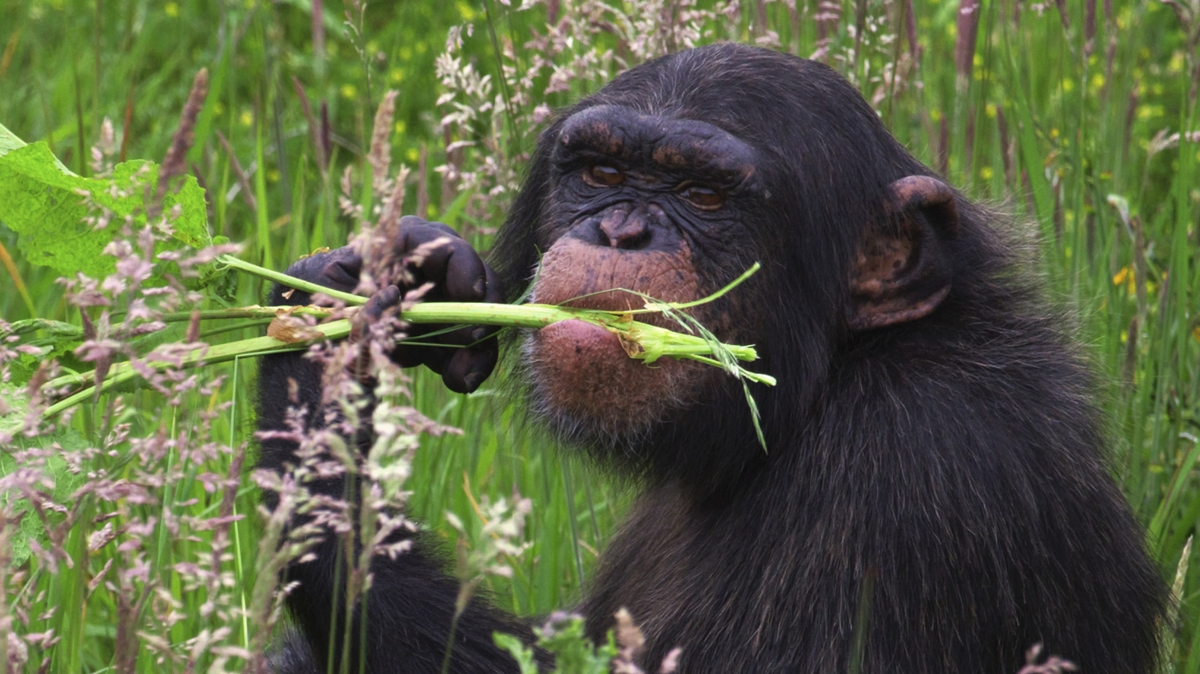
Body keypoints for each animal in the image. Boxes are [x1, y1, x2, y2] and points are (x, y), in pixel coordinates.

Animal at [258, 44, 1166, 666]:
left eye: (702, 195)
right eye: (600, 173)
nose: (622, 231)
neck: (824, 385)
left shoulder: (906, 475)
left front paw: (316, 377)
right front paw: (382, 279)